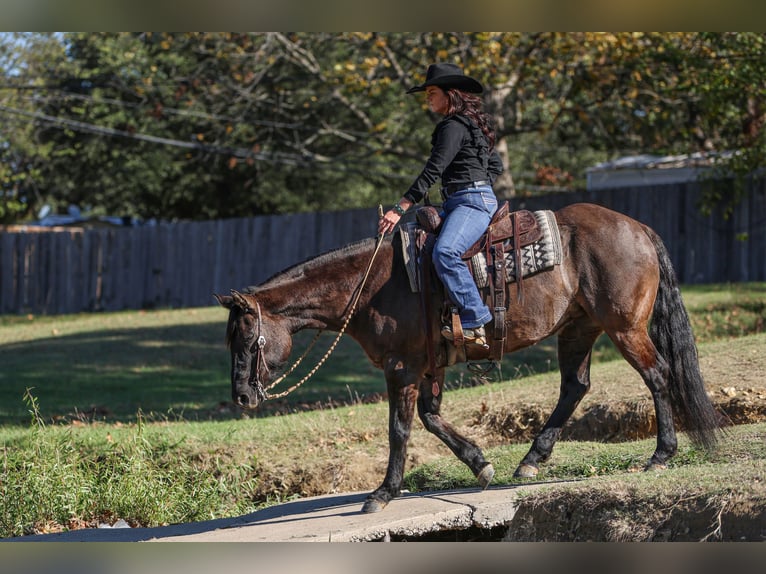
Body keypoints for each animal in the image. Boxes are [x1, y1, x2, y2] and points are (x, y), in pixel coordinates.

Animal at [213, 202, 724, 512]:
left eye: (247, 339)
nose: (241, 396)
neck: (372, 284)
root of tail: (639, 228)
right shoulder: (429, 365)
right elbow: (431, 417)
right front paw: (480, 463)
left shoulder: (402, 367)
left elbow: (400, 429)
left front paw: (383, 492)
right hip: (579, 329)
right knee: (575, 387)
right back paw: (531, 459)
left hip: (624, 328)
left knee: (657, 375)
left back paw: (660, 455)